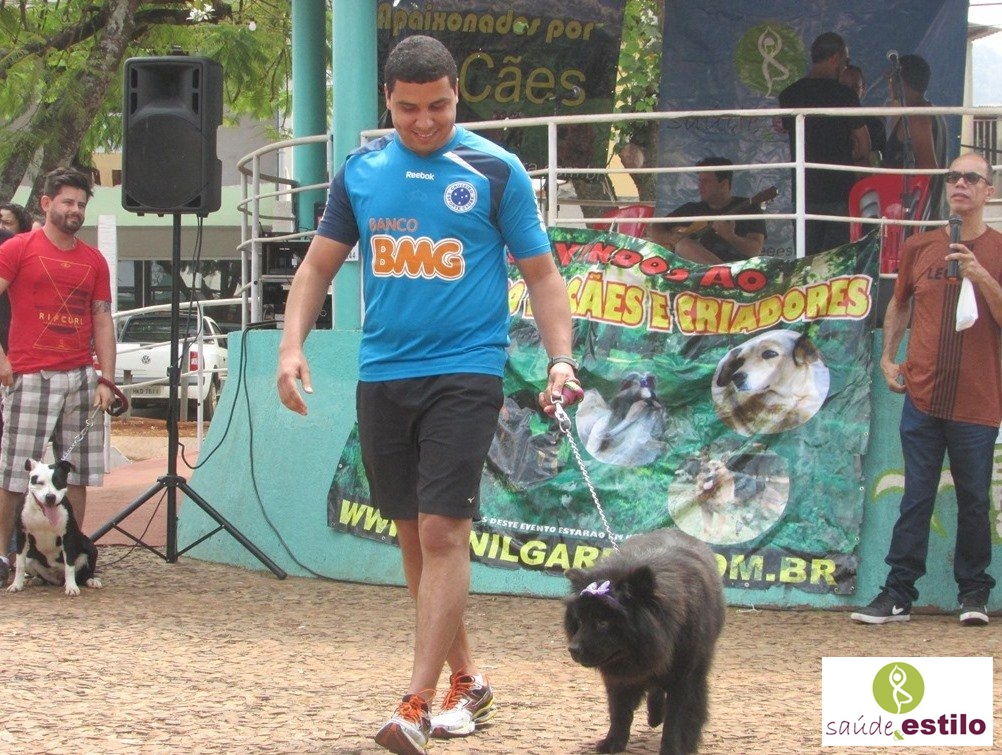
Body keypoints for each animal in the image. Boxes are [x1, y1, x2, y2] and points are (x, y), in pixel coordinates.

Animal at [7, 459, 101, 597]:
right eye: (39, 482)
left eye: (58, 481)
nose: (50, 497)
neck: (42, 512)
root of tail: (58, 578)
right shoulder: (21, 535)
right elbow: (19, 564)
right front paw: (16, 585)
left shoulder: (67, 536)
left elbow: (69, 566)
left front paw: (72, 587)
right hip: (30, 557)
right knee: (40, 575)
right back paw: (35, 580)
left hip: (91, 548)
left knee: (84, 574)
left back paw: (91, 581)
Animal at [564, 529, 725, 755]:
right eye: (579, 620)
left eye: (603, 622)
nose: (573, 649)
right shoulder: (619, 677)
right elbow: (620, 712)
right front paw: (613, 743)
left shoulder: (686, 678)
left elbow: (676, 721)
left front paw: (672, 749)